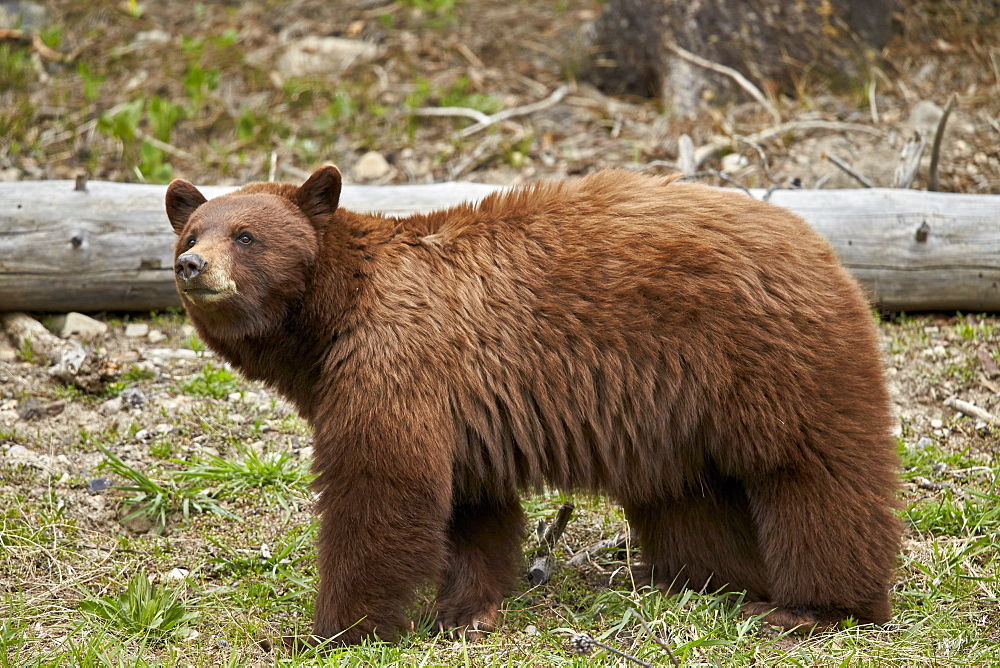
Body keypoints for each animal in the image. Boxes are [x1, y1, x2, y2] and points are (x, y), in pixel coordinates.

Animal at [168, 164, 904, 644]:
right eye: (191, 232)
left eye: (245, 235)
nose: (191, 266)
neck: (332, 317)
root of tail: (818, 243)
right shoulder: (459, 402)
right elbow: (469, 504)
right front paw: (467, 610)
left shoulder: (397, 358)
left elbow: (382, 485)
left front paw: (333, 628)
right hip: (681, 410)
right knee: (691, 498)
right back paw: (705, 579)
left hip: (767, 357)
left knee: (812, 474)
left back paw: (814, 606)